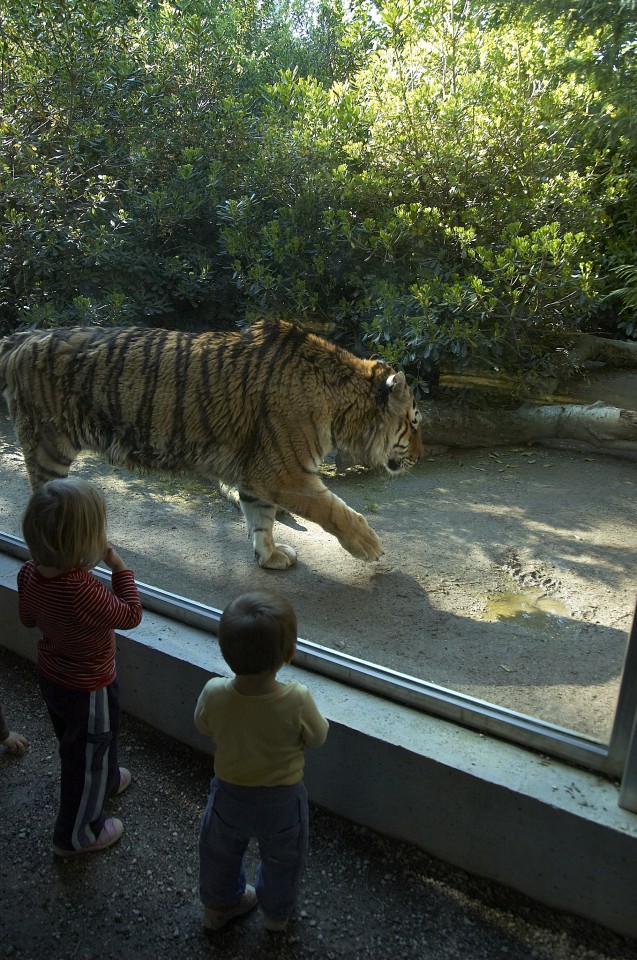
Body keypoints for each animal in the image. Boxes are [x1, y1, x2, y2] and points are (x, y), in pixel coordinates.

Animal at [0, 320, 422, 568]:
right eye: (414, 423)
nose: (420, 457)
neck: (342, 406)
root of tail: (24, 335)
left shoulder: (258, 476)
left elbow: (261, 521)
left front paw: (270, 556)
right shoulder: (286, 473)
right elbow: (336, 510)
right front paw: (369, 546)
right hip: (49, 444)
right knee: (40, 495)